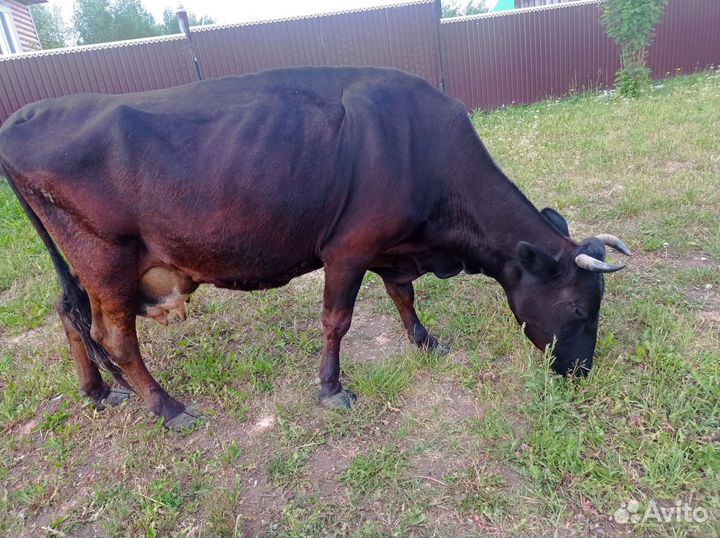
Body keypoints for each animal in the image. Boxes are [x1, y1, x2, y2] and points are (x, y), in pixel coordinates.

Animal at [0, 66, 629, 429]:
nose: (581, 372)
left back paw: (98, 392)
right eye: (579, 308)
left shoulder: (390, 246)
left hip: (83, 267)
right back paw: (168, 409)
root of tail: (24, 117)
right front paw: (331, 388)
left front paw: (425, 341)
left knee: (68, 315)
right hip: (107, 258)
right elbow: (337, 320)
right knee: (113, 336)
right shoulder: (348, 248)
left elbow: (403, 296)